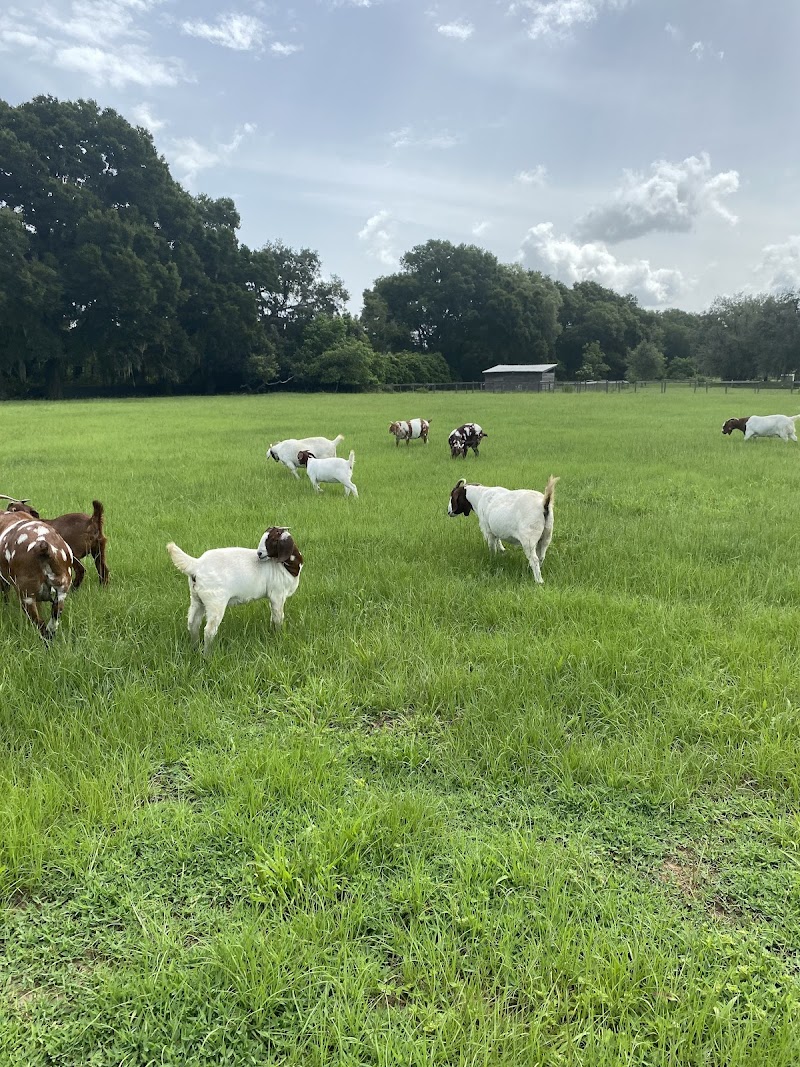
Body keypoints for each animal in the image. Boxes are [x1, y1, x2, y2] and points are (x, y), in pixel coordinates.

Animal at [167, 527, 303, 655]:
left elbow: (273, 616)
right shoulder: (277, 594)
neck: (285, 566)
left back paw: (195, 648)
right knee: (209, 630)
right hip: (215, 601)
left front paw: (272, 632)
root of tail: (197, 564)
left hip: (197, 599)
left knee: (193, 623)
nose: (259, 554)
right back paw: (208, 655)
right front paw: (279, 636)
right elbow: (278, 617)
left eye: (273, 539)